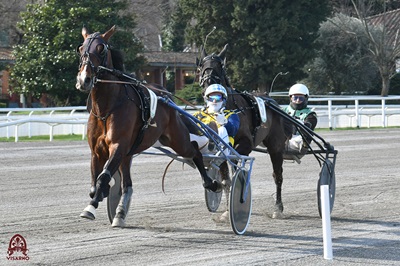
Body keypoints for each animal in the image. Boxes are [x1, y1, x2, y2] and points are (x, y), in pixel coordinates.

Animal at [75, 25, 222, 227]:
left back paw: (211, 183)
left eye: (101, 48)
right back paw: (120, 214)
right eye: (80, 48)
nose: (84, 79)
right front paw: (100, 195)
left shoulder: (118, 146)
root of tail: (166, 95)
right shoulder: (97, 151)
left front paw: (91, 206)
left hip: (176, 139)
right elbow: (95, 181)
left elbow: (103, 176)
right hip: (130, 153)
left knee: (195, 152)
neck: (107, 108)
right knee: (127, 185)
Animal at [197, 43, 290, 218]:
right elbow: (225, 178)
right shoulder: (220, 146)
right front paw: (227, 210)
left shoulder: (246, 143)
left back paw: (278, 208)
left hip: (275, 146)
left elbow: (235, 163)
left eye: (220, 66)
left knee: (278, 175)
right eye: (202, 66)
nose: (208, 83)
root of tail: (271, 99)